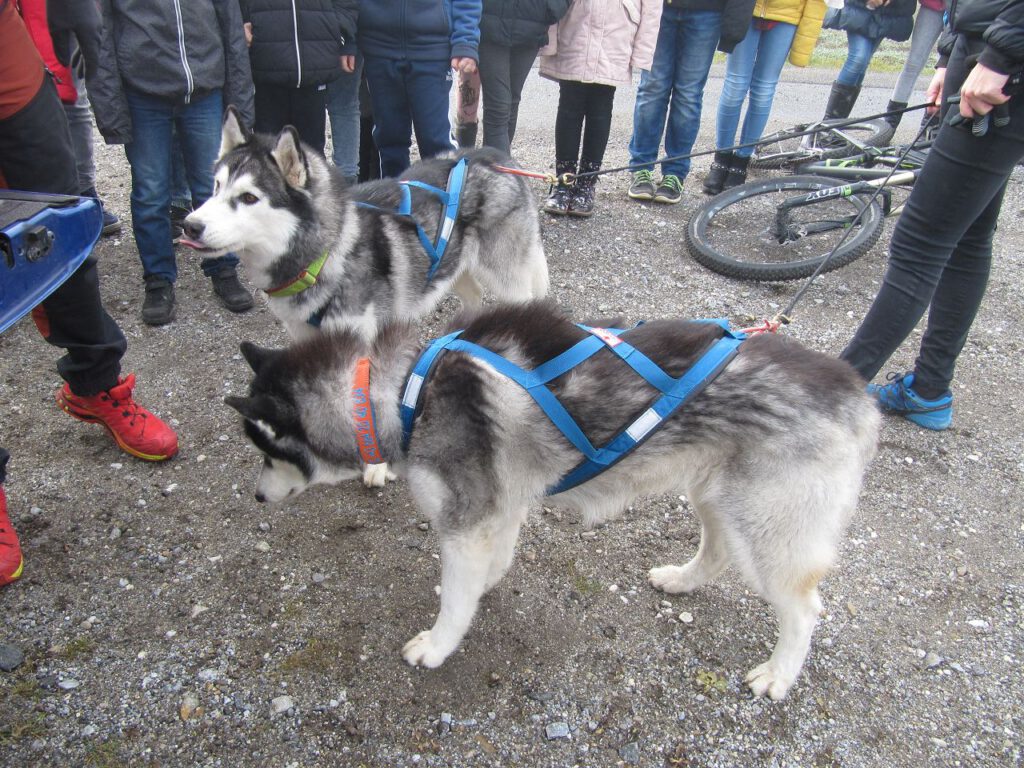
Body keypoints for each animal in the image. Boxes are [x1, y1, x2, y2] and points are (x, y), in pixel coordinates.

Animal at [180, 107, 549, 344]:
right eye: (216, 187)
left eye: (248, 197)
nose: (189, 225)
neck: (323, 257)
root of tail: (496, 158)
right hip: (452, 267)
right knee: (473, 297)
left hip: (506, 278)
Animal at [226, 302, 879, 700]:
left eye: (265, 448)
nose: (255, 497)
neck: (402, 389)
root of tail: (857, 392)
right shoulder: (501, 506)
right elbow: (492, 563)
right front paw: (486, 587)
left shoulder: (465, 520)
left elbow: (454, 599)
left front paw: (438, 645)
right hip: (718, 496)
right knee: (716, 550)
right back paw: (681, 579)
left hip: (769, 529)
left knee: (804, 610)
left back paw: (779, 674)